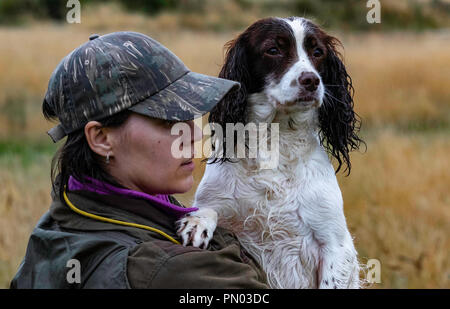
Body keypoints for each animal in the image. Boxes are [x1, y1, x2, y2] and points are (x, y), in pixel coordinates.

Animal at [177, 16, 366, 286]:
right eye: (273, 50)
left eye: (318, 52)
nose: (311, 80)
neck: (275, 141)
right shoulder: (218, 201)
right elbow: (207, 207)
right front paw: (196, 224)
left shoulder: (336, 244)